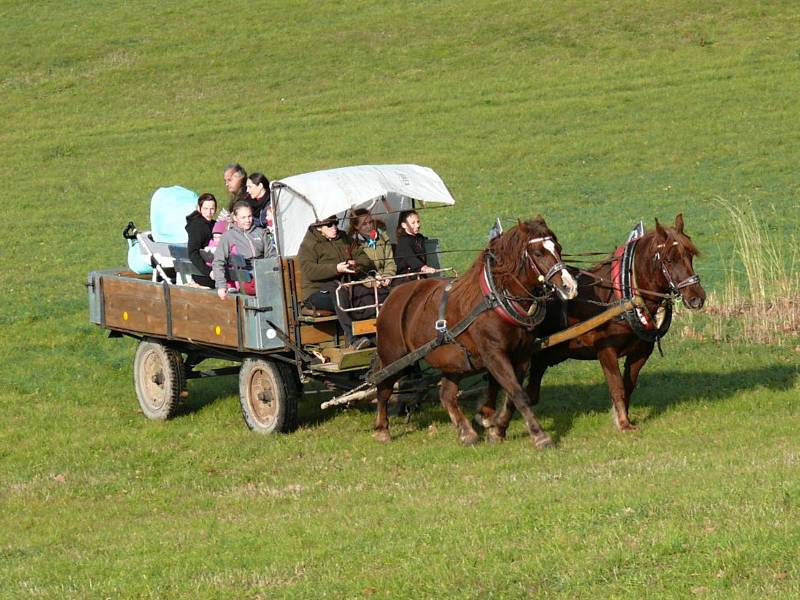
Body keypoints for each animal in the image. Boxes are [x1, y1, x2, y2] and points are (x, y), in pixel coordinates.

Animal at [372, 218, 580, 448]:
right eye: (538, 252)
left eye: (558, 247)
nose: (569, 286)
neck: (496, 299)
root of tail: (393, 296)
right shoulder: (494, 354)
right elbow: (517, 393)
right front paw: (540, 435)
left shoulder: (522, 354)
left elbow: (512, 395)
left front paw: (497, 430)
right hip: (394, 357)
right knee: (383, 388)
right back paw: (382, 429)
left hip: (453, 359)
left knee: (446, 393)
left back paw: (466, 432)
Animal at [476, 213, 708, 438]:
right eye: (669, 259)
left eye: (689, 255)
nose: (697, 298)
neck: (625, 293)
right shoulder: (605, 350)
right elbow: (616, 386)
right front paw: (623, 424)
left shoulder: (641, 351)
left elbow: (628, 386)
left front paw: (622, 417)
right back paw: (486, 416)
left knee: (527, 388)